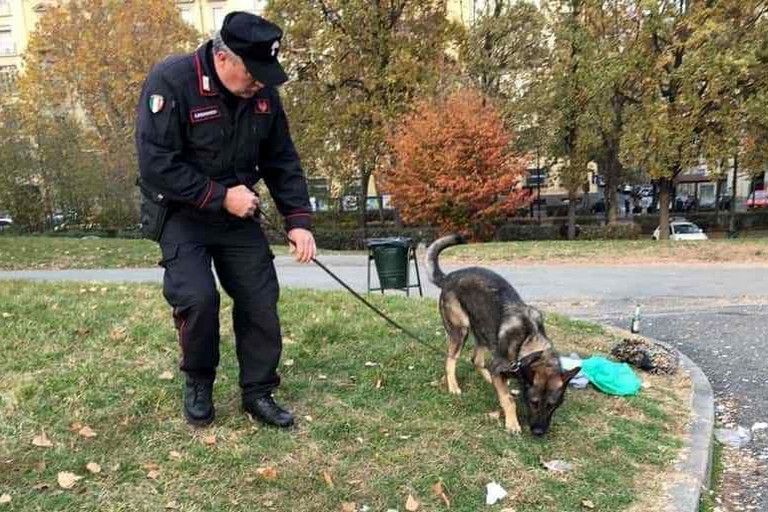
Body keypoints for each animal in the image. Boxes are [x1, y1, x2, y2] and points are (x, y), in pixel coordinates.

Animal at [424, 236, 580, 436]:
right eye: (534, 403)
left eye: (553, 406)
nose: (539, 432)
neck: (530, 345)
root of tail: (448, 277)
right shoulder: (501, 365)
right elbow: (508, 399)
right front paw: (512, 423)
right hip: (461, 331)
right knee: (451, 360)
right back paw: (454, 386)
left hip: (484, 332)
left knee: (477, 360)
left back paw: (490, 379)